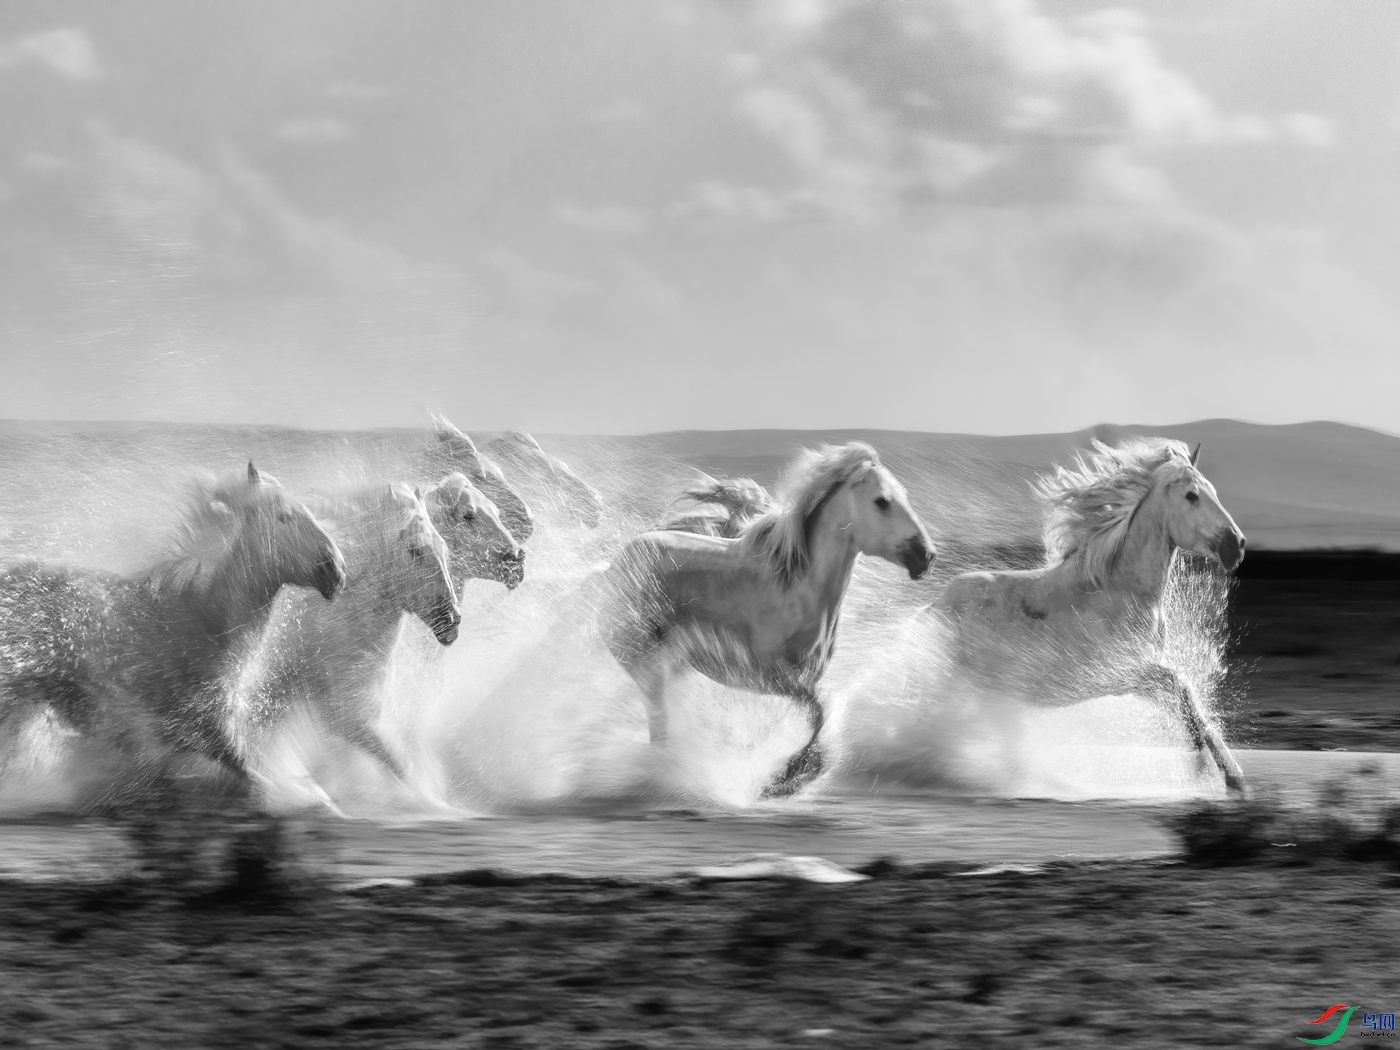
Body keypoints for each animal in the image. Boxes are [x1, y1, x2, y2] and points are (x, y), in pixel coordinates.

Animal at [599, 442, 935, 797]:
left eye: (905, 496)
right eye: (882, 501)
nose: (925, 556)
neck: (797, 590)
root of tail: (617, 563)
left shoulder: (801, 679)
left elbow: (815, 717)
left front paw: (788, 776)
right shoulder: (766, 676)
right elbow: (820, 710)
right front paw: (785, 777)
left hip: (674, 667)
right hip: (646, 665)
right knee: (659, 728)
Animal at [933, 437, 1248, 795]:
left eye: (1213, 492)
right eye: (1192, 495)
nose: (1236, 545)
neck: (1120, 592)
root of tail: (933, 608)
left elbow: (1189, 699)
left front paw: (1223, 769)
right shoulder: (1117, 674)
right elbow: (1180, 687)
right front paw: (1216, 770)